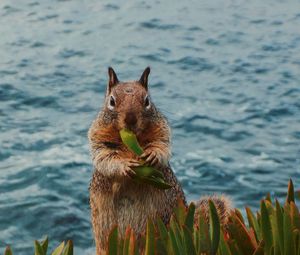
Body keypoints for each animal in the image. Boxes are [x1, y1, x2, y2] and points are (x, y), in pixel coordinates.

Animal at [88, 66, 231, 254]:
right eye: (111, 101)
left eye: (147, 100)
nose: (130, 119)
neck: (132, 142)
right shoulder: (98, 137)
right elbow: (104, 157)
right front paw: (125, 165)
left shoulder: (162, 130)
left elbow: (162, 146)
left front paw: (153, 155)